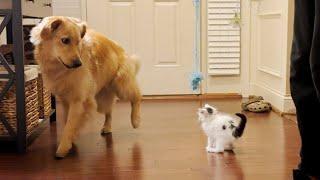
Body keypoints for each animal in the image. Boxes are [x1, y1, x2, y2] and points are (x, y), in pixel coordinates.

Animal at [30, 16, 141, 158]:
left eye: (78, 42)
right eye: (65, 40)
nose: (78, 64)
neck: (60, 69)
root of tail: (119, 47)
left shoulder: (79, 100)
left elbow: (70, 125)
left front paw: (63, 147)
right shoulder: (66, 100)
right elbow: (67, 122)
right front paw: (71, 139)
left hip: (121, 85)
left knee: (137, 96)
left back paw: (135, 120)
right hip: (102, 98)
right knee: (109, 111)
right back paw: (107, 127)